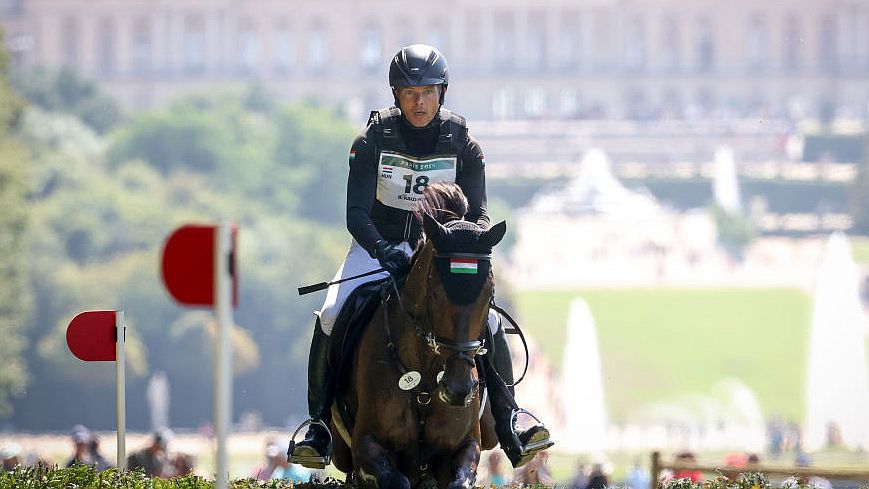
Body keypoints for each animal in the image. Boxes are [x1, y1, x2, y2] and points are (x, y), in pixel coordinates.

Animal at [330, 190, 508, 488]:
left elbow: (459, 480)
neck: (425, 377)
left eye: (489, 293)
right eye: (435, 293)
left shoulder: (466, 445)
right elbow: (395, 479)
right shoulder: (365, 444)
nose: (458, 390)